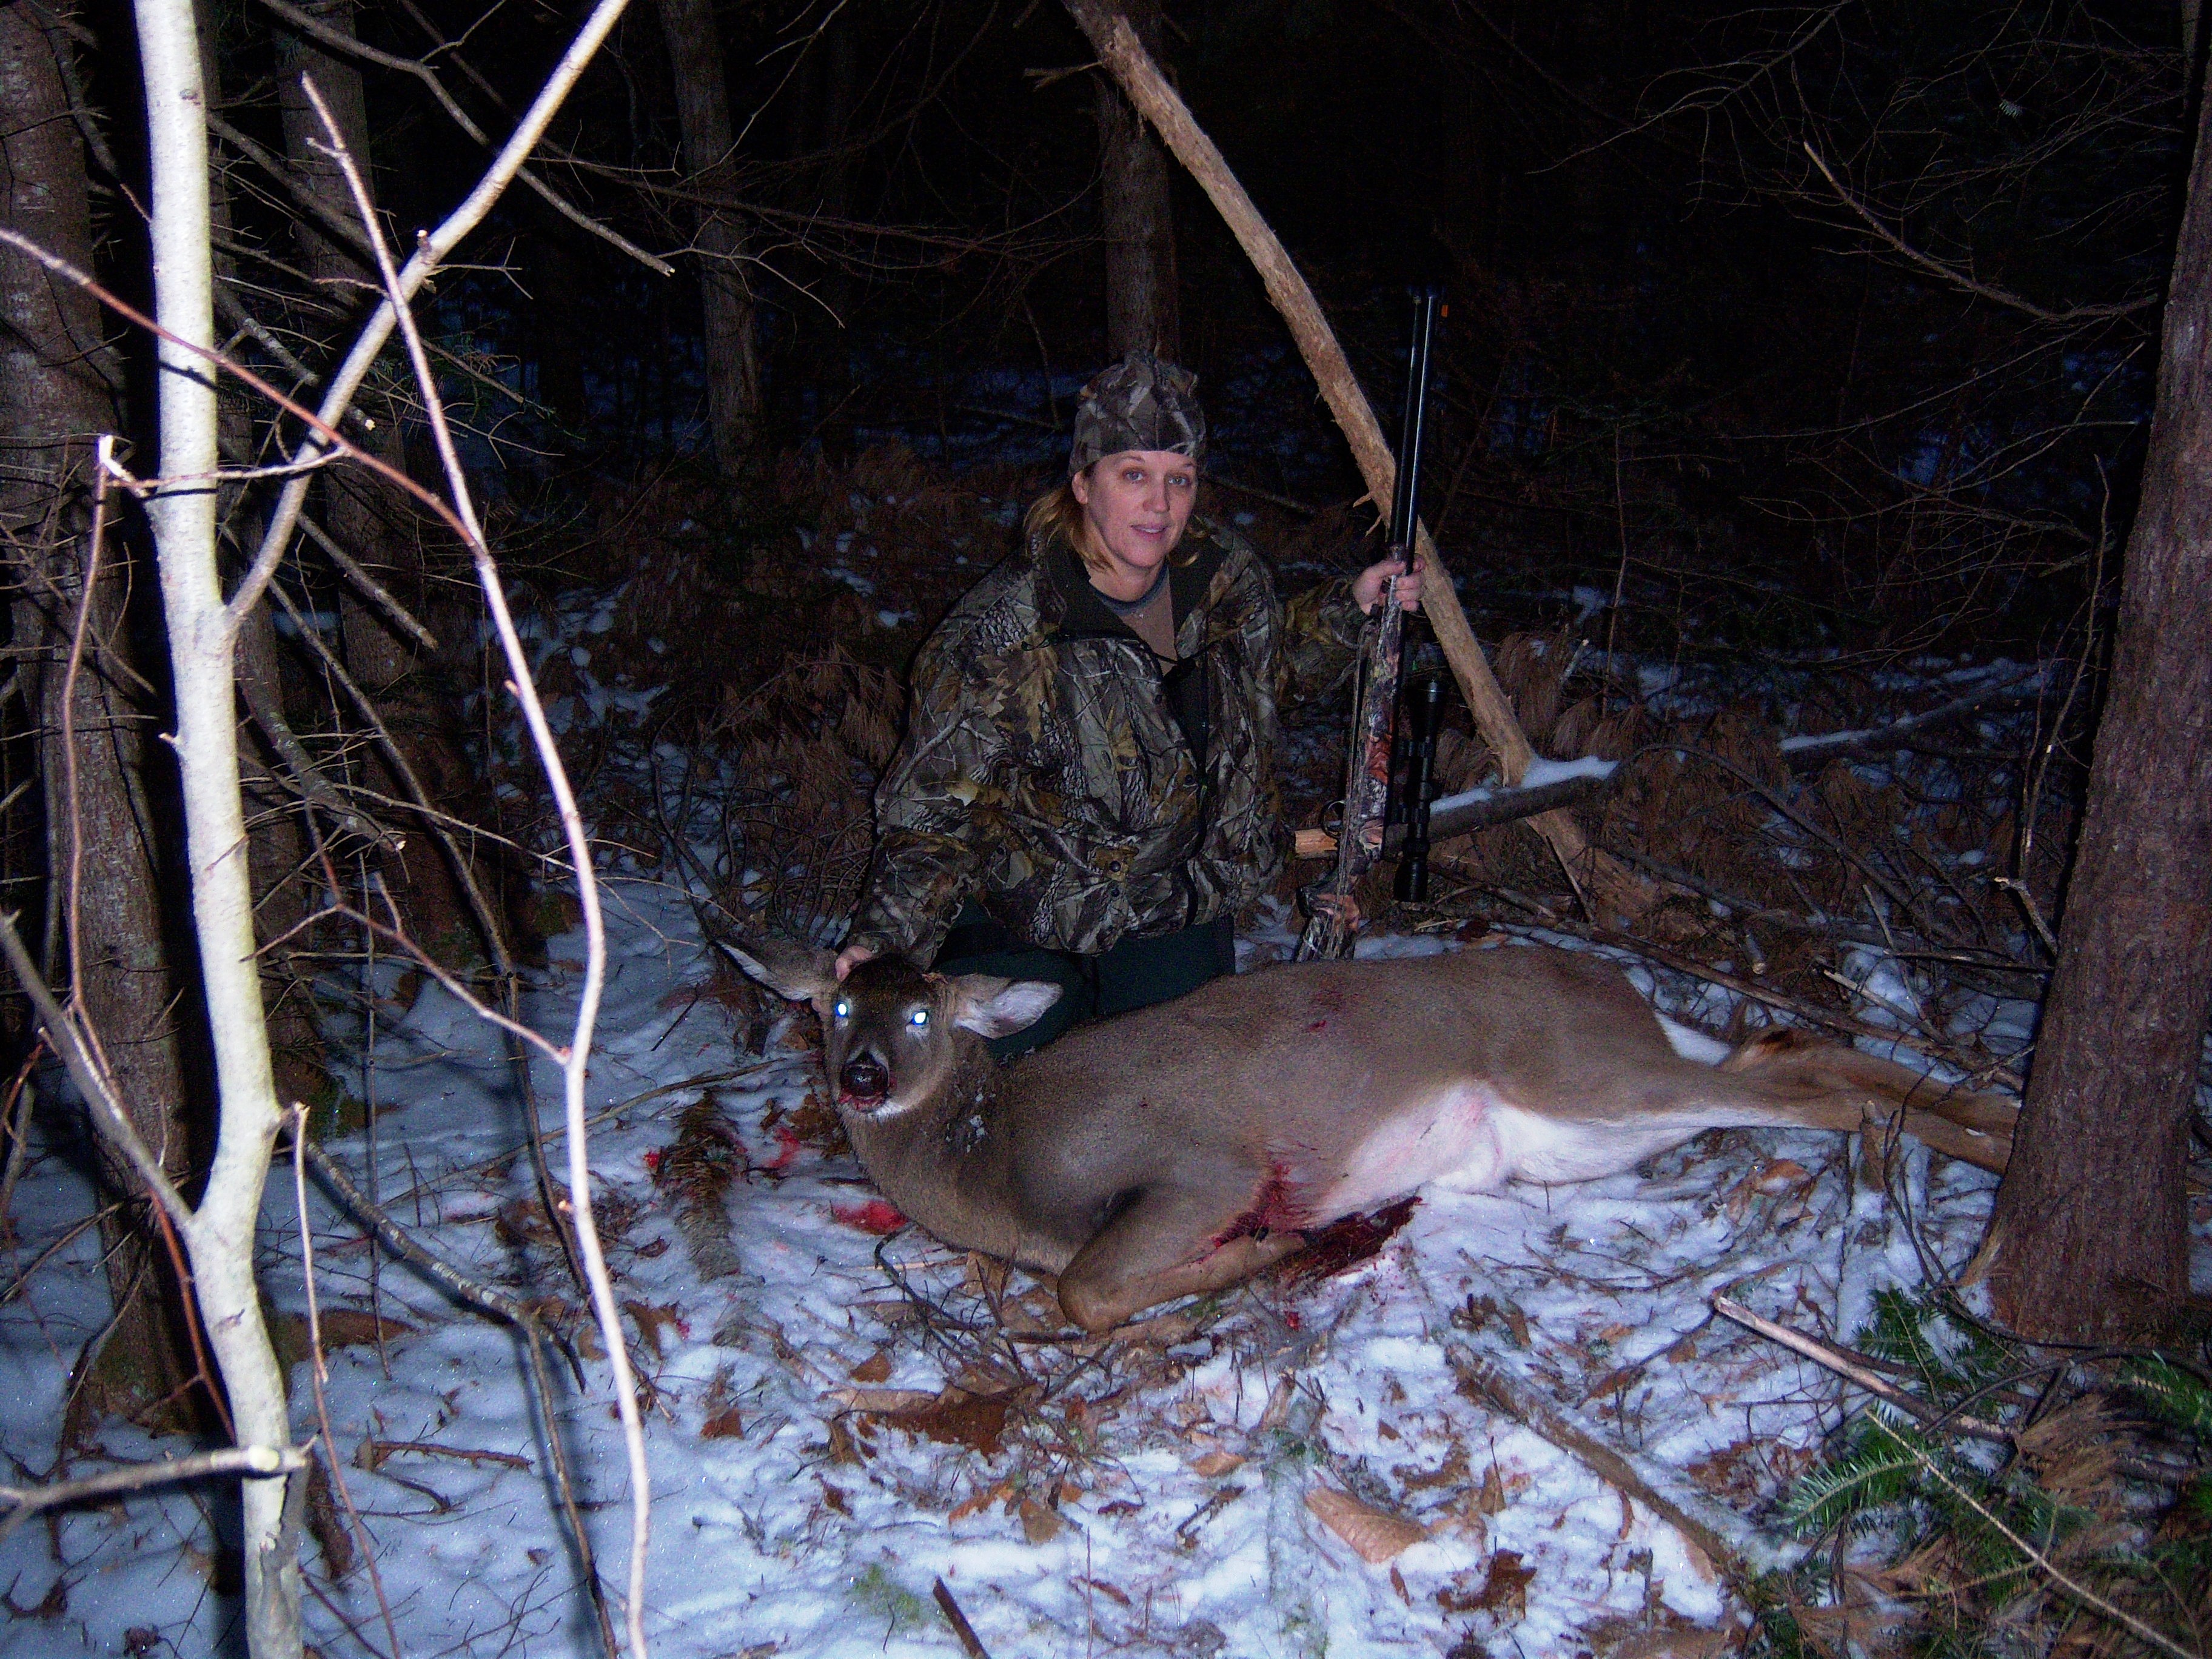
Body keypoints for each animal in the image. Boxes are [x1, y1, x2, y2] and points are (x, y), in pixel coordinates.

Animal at [725, 936, 2016, 1333]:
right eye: (833, 1007)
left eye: (923, 1013)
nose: (861, 1076)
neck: (994, 1162)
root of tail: (1615, 984)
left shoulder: (1201, 1164)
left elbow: (1086, 1289)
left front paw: (1279, 1247)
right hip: (1585, 1110)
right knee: (1785, 1048)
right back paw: (1986, 1122)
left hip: (1575, 1068)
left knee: (1803, 1084)